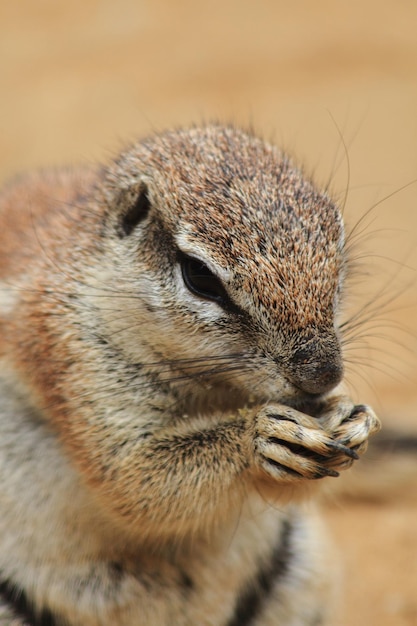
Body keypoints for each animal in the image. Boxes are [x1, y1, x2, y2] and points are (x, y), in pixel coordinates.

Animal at [0, 124, 380, 620]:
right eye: (199, 276)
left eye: (338, 246)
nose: (324, 375)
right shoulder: (69, 355)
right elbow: (134, 476)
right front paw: (261, 435)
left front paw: (354, 418)